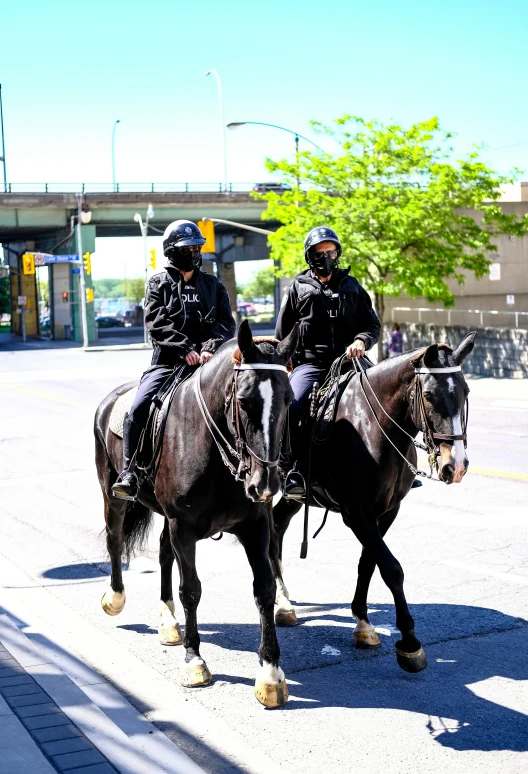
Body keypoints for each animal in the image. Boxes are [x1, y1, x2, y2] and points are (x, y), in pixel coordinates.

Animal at [95, 322, 300, 708]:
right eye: (244, 401)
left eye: (289, 400)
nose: (265, 483)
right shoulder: (184, 527)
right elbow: (191, 589)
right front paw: (194, 662)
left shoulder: (255, 526)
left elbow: (264, 588)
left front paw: (270, 674)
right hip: (112, 493)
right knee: (115, 540)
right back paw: (115, 598)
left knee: (162, 553)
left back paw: (168, 621)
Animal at [272, 336, 474, 676]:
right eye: (429, 395)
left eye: (466, 392)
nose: (455, 465)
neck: (374, 426)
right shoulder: (356, 513)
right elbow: (392, 569)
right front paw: (410, 643)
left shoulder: (387, 511)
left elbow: (368, 563)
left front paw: (363, 623)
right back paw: (281, 602)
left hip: (296, 499)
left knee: (277, 526)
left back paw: (282, 599)